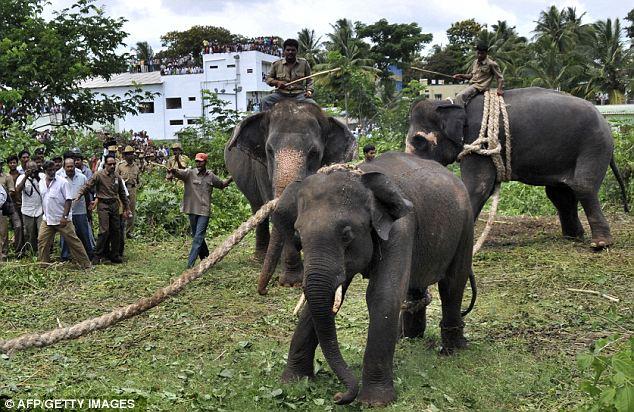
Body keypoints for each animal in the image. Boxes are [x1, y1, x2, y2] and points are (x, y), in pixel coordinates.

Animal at [225, 100, 356, 292]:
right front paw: (292, 282)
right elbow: (277, 213)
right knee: (257, 207)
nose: (263, 290)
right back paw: (259, 258)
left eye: (314, 153)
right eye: (269, 151)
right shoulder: (262, 170)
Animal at [404, 85, 628, 249]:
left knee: (583, 186)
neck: (453, 103)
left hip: (593, 145)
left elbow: (478, 186)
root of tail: (607, 123)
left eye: (418, 141)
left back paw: (600, 244)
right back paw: (573, 237)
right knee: (559, 194)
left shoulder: (479, 140)